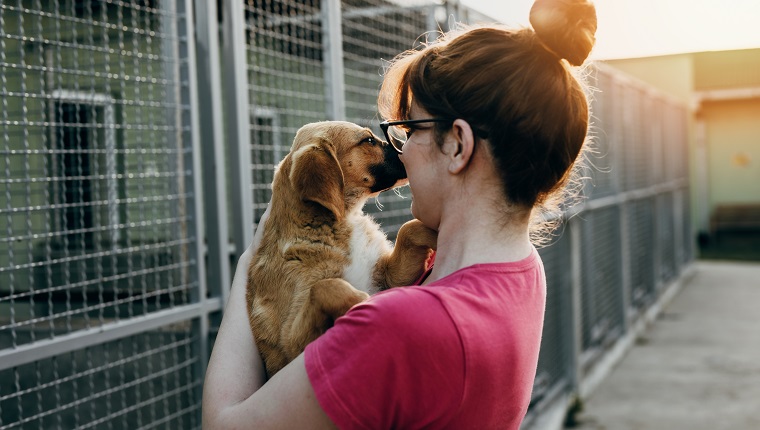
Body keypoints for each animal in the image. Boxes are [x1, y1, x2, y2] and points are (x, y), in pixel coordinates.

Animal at [248, 120, 436, 376]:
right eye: (368, 140)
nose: (405, 145)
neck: (341, 222)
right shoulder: (289, 345)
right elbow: (326, 286)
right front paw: (361, 301)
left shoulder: (388, 277)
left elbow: (409, 229)